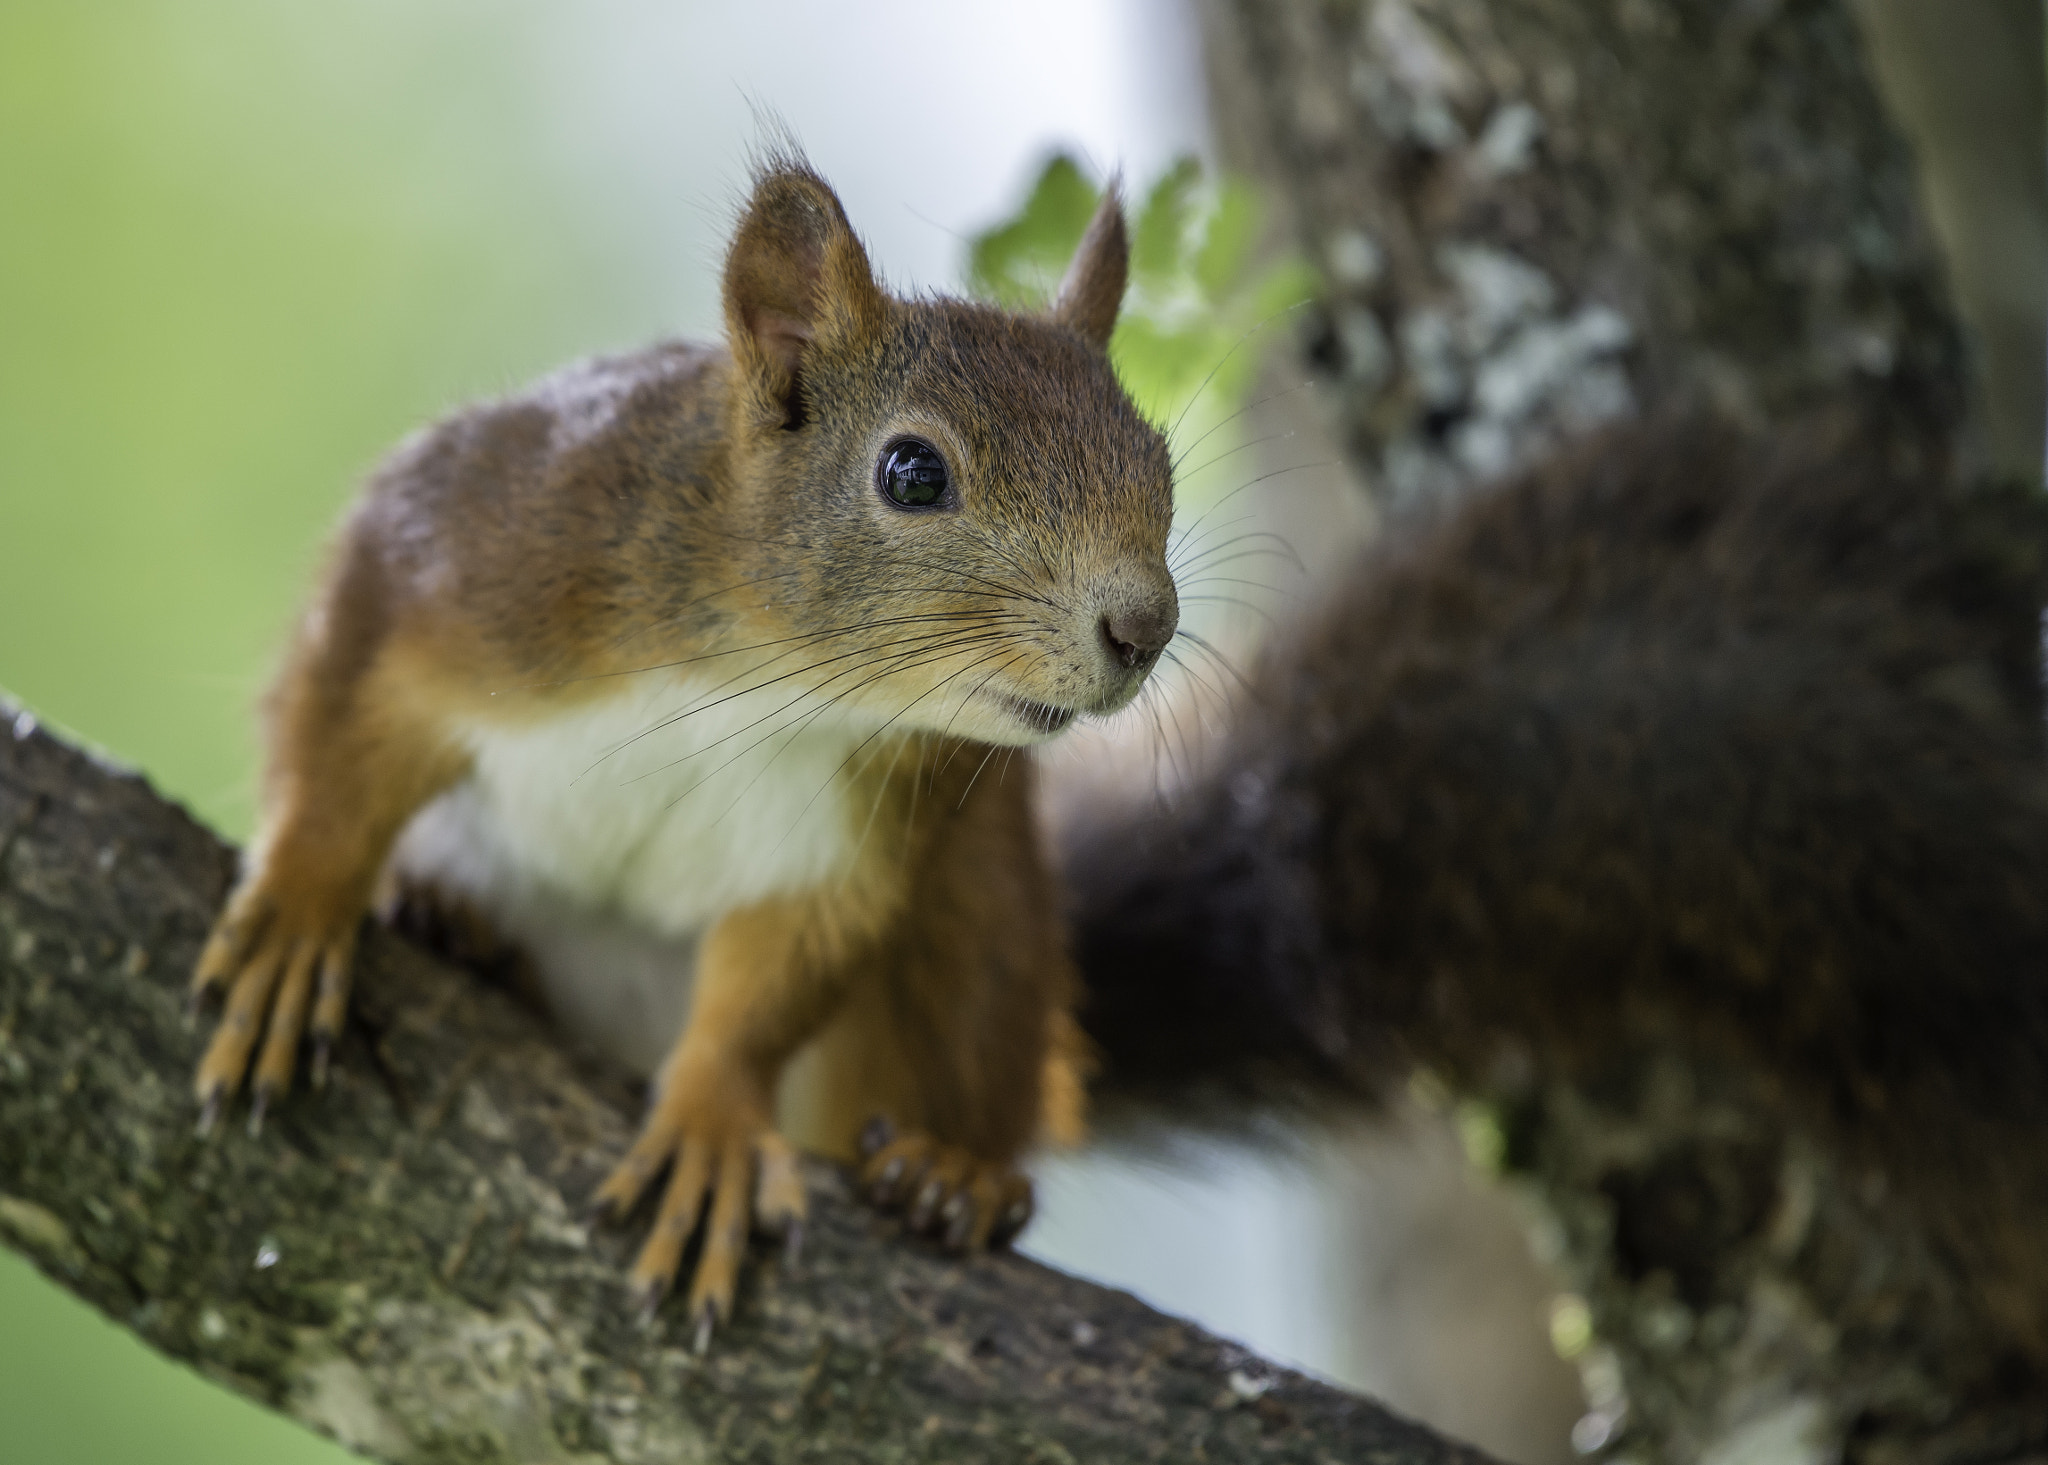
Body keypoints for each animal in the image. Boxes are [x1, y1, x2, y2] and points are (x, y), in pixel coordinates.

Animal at [187, 153, 1179, 1346]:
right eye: (912, 473)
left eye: (1158, 460)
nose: (1144, 627)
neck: (764, 676)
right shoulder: (483, 550)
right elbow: (343, 747)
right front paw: (297, 918)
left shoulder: (862, 819)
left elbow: (773, 981)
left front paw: (711, 1122)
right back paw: (451, 925)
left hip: (984, 913)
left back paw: (956, 1171)